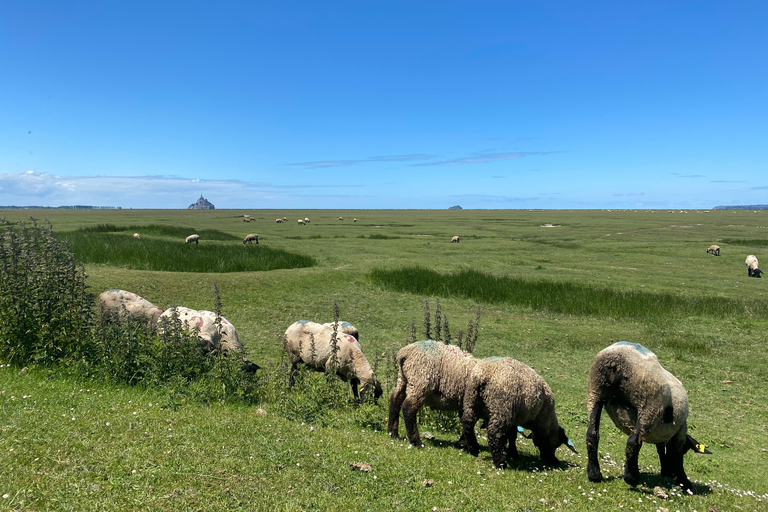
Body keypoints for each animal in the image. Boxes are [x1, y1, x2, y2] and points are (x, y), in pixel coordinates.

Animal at [584, 342, 712, 490]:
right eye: (686, 449)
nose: (669, 474)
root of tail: (615, 362)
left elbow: (661, 450)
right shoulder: (680, 431)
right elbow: (678, 456)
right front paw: (684, 482)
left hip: (596, 392)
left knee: (592, 434)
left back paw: (594, 474)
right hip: (649, 405)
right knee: (633, 442)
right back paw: (632, 478)